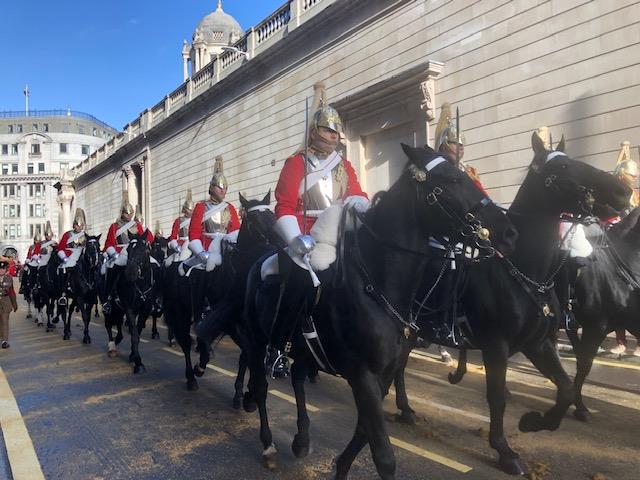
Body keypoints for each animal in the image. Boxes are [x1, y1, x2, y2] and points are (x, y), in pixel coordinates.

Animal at [192, 190, 278, 404]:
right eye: (253, 220)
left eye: (271, 215)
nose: (278, 243)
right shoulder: (231, 324)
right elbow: (246, 351)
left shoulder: (248, 325)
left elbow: (245, 356)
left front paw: (242, 391)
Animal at [241, 144, 520, 478]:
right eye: (452, 179)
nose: (508, 232)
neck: (377, 285)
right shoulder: (362, 375)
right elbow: (383, 454)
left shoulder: (384, 375)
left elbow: (365, 432)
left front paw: (341, 467)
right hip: (257, 341)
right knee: (260, 388)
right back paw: (268, 445)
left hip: (304, 351)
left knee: (297, 378)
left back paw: (301, 439)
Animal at [390, 133, 632, 474]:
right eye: (563, 167)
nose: (623, 191)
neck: (526, 271)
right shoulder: (496, 346)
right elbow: (497, 398)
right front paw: (504, 450)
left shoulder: (537, 343)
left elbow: (566, 387)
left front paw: (534, 422)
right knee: (397, 365)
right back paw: (402, 407)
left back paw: (405, 408)